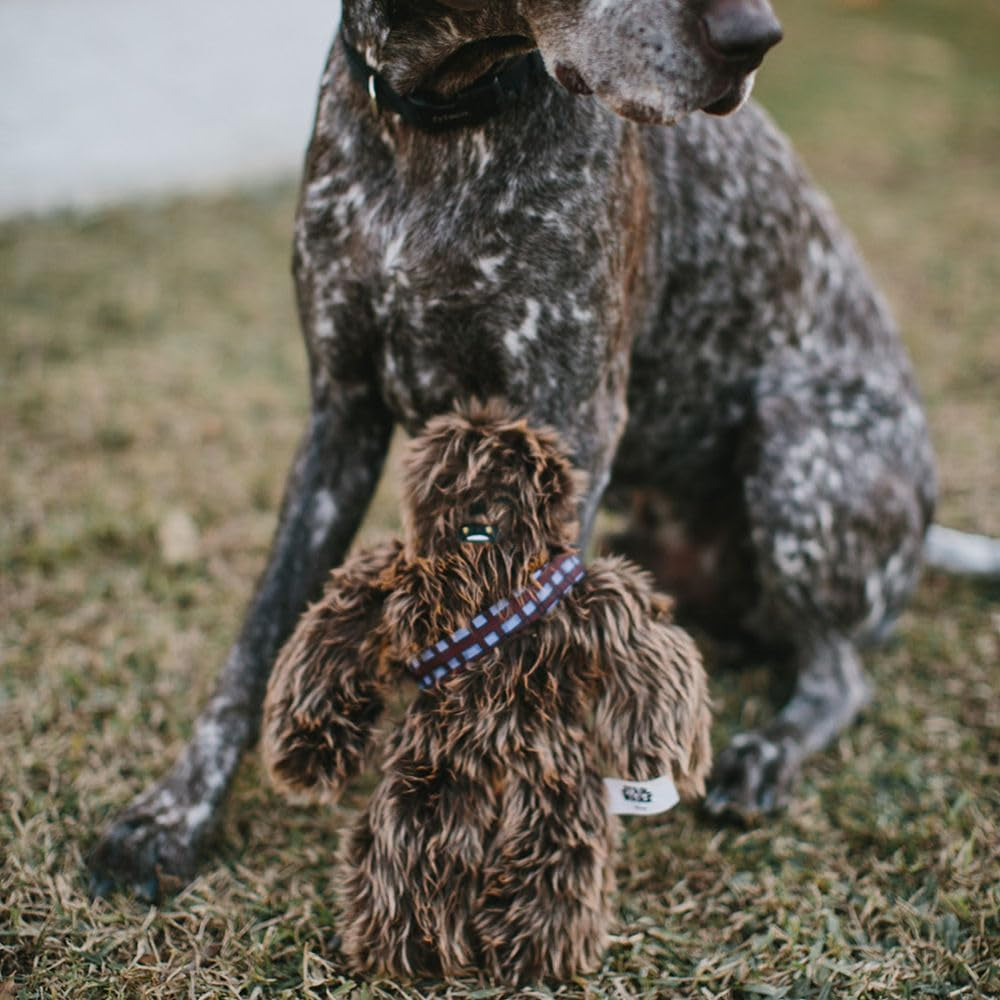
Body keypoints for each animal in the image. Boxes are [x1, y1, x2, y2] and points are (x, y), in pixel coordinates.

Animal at [90, 0, 940, 900]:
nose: (756, 39)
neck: (438, 109)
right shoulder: (338, 421)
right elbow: (255, 646)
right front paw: (174, 813)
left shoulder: (572, 425)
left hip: (795, 447)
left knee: (839, 673)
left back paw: (767, 751)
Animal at [260, 406, 712, 984]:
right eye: (455, 483)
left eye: (502, 485)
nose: (477, 508)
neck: (487, 565)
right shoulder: (385, 580)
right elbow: (332, 640)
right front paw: (303, 758)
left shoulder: (597, 596)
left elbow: (650, 658)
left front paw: (669, 768)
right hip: (427, 790)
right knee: (412, 869)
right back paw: (420, 951)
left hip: (553, 792)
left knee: (550, 869)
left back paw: (530, 953)